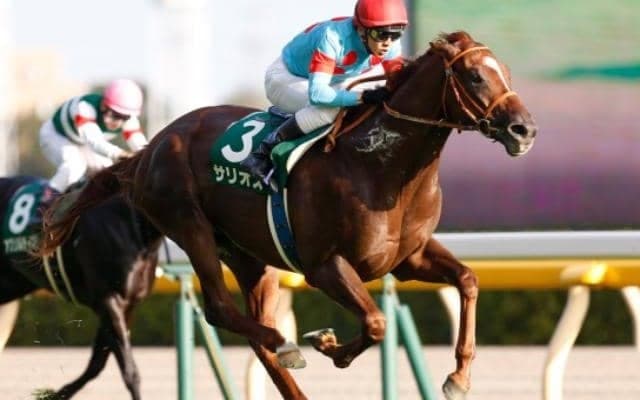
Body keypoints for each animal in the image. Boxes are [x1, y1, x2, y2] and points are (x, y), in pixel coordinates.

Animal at [39, 31, 537, 400]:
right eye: (474, 76)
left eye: (506, 73)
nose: (524, 129)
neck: (381, 165)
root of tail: (150, 148)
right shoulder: (324, 265)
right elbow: (375, 323)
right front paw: (330, 347)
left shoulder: (408, 259)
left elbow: (468, 280)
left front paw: (458, 377)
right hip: (188, 224)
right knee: (223, 311)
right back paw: (289, 344)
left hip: (248, 256)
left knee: (255, 334)